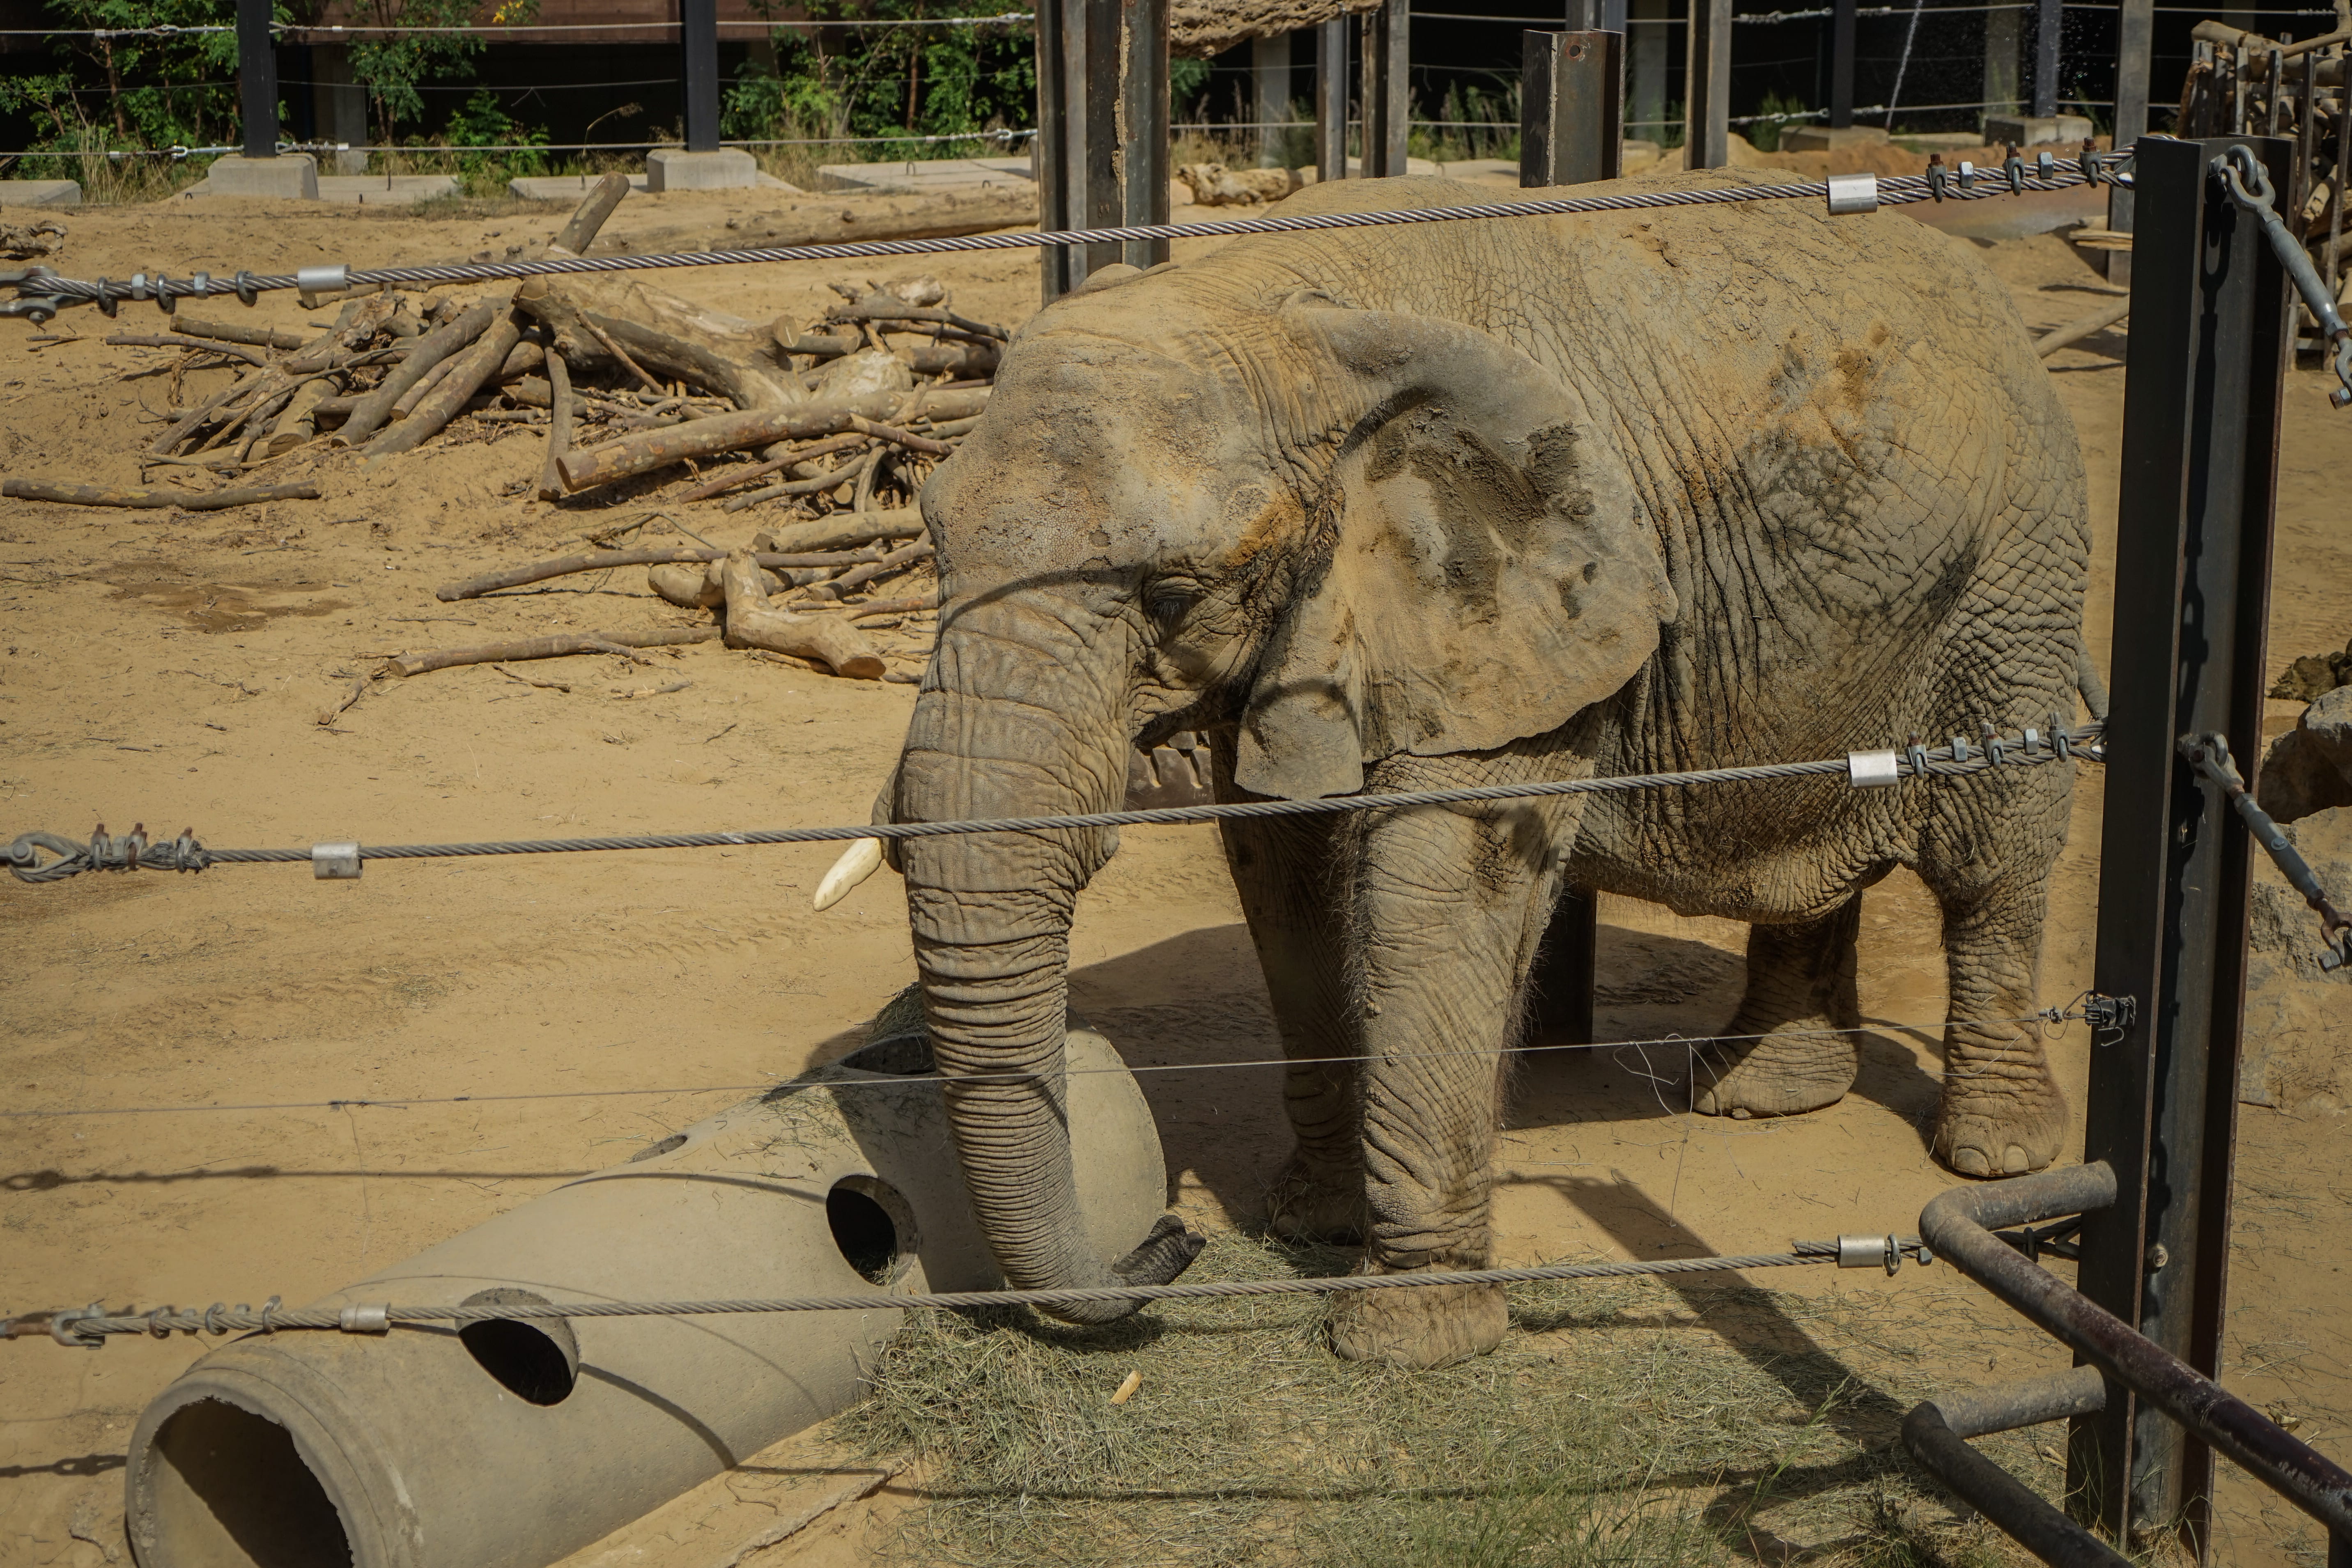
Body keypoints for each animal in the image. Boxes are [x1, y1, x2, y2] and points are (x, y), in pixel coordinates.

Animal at [884, 175, 2098, 1373]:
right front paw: (1311, 1225)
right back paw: (1760, 1096)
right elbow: (1281, 867)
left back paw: (1993, 1156)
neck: (1285, 306)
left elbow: (1437, 891)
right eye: (930, 540)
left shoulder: (1513, 610)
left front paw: (1408, 1343)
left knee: (1992, 857)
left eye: (1172, 595)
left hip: (2016, 573)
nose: (1170, 1237)